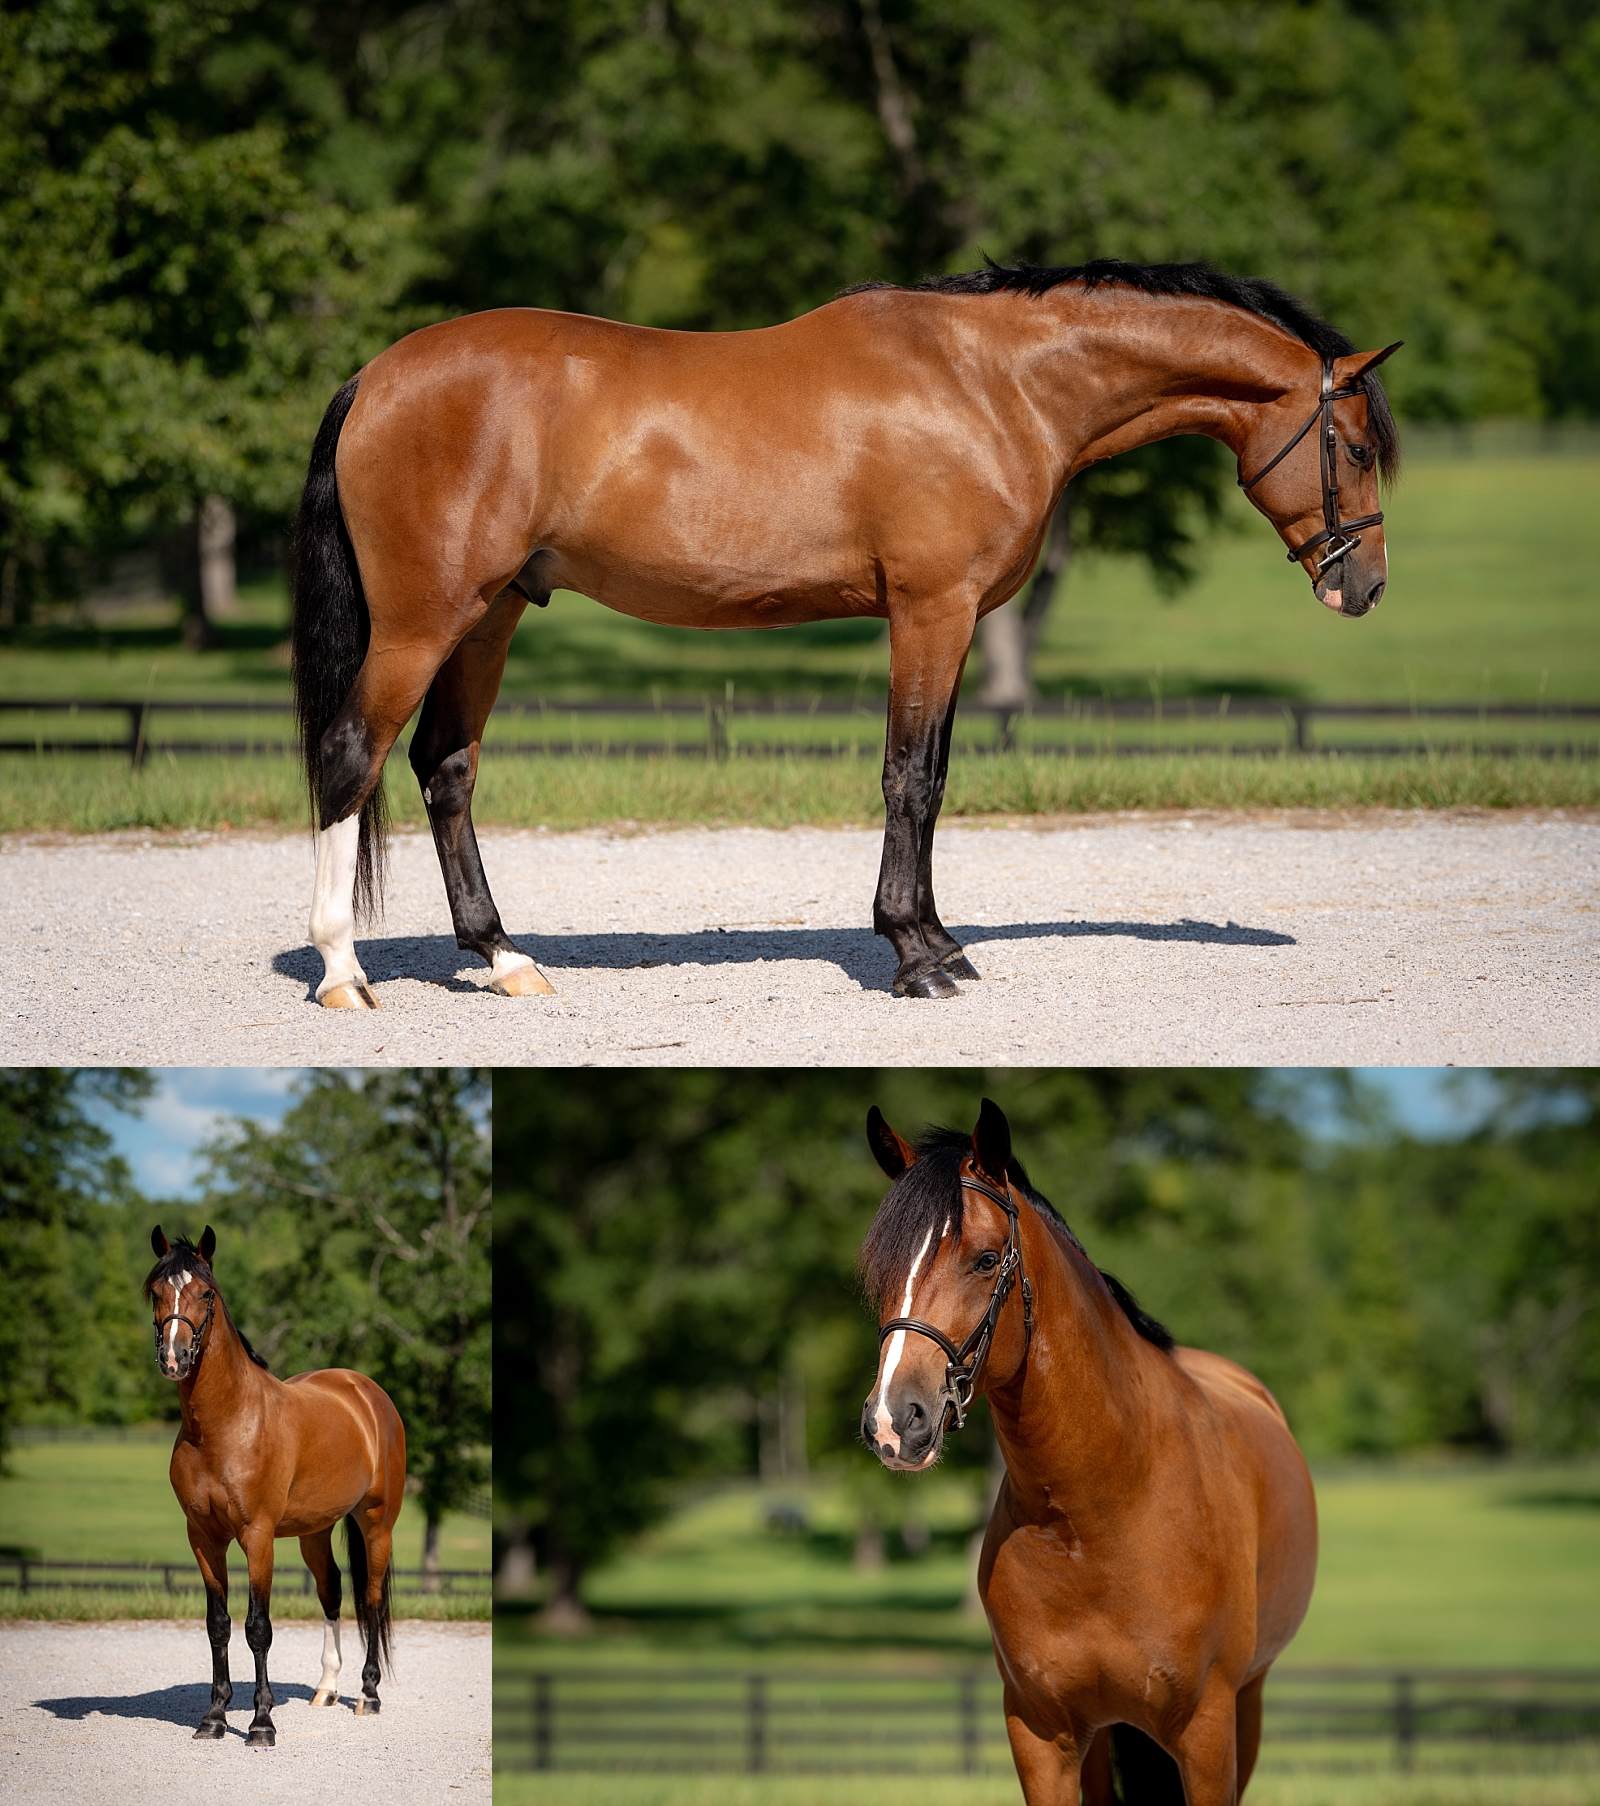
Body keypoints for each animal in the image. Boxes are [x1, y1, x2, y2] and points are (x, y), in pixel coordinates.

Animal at [145, 1226, 407, 1746]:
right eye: (157, 1291)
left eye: (206, 1293)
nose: (174, 1358)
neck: (224, 1426)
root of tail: (368, 1394)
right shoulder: (203, 1538)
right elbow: (218, 1625)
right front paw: (214, 1718)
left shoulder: (257, 1536)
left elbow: (258, 1627)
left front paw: (261, 1723)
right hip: (314, 1531)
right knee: (333, 1592)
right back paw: (327, 1689)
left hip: (377, 1524)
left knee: (370, 1599)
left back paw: (368, 1694)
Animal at [289, 257, 1401, 1006]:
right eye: (1353, 447)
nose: (1367, 587)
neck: (992, 382)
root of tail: (374, 377)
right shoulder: (931, 610)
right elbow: (910, 776)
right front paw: (916, 955)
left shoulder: (951, 620)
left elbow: (934, 775)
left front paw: (938, 942)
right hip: (428, 617)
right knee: (352, 754)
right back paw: (343, 971)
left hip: (493, 613)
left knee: (445, 767)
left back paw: (505, 958)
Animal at [859, 1100, 1316, 1805]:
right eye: (880, 1269)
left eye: (986, 1260)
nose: (892, 1421)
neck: (1096, 1516)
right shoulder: (1041, 1734)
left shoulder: (1208, 1731)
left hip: (1248, 1702)